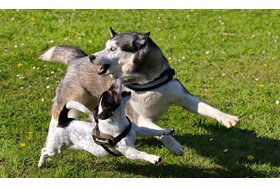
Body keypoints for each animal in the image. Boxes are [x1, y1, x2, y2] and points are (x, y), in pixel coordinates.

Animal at [37, 78, 173, 167]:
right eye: (112, 92)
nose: (116, 78)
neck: (119, 121)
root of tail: (64, 120)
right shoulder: (129, 151)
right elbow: (141, 153)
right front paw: (154, 158)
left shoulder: (138, 130)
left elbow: (153, 131)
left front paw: (167, 131)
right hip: (55, 147)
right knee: (44, 151)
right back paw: (40, 164)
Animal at [40, 27, 240, 155]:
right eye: (106, 46)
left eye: (113, 48)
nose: (92, 57)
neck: (149, 81)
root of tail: (77, 58)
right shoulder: (140, 117)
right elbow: (159, 131)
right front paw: (174, 145)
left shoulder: (183, 97)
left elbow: (206, 107)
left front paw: (227, 118)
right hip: (69, 101)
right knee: (56, 120)